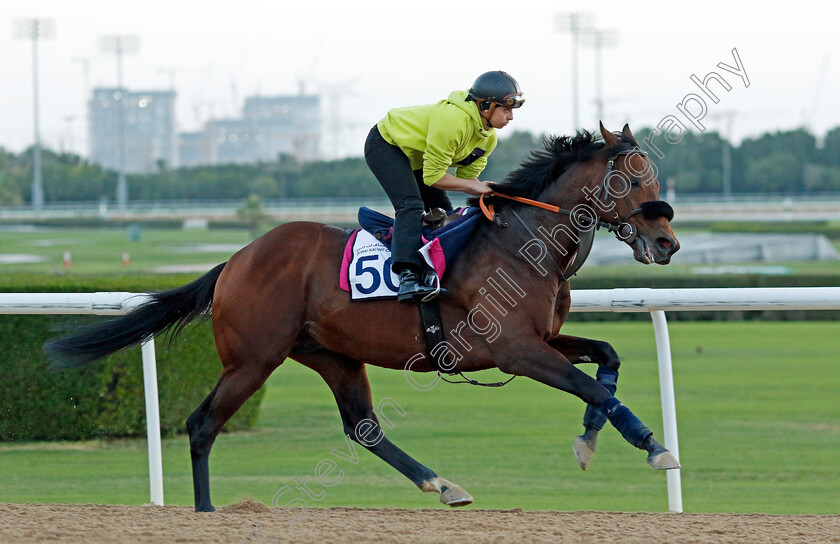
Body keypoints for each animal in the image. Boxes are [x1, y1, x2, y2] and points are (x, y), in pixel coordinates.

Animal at [46, 122, 680, 510]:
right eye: (631, 178)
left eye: (653, 176)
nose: (667, 242)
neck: (523, 244)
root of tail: (237, 259)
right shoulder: (514, 350)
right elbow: (589, 386)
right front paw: (651, 447)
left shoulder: (543, 339)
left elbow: (606, 362)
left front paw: (595, 438)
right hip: (253, 358)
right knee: (202, 424)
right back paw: (204, 511)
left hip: (332, 354)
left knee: (362, 426)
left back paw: (442, 484)